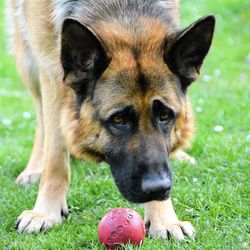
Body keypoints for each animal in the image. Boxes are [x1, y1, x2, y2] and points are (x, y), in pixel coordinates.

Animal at [7, 0, 215, 239]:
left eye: (165, 116)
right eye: (118, 120)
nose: (158, 188)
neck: (124, 12)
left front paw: (164, 219)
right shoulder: (50, 68)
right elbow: (55, 153)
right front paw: (45, 212)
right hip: (28, 60)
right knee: (41, 116)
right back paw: (34, 169)